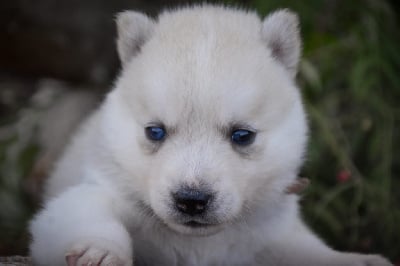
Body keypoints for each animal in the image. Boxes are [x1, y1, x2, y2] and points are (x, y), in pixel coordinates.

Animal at [29, 4, 392, 266]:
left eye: (242, 135)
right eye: (155, 132)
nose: (191, 200)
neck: (199, 245)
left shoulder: (273, 234)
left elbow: (308, 250)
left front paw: (356, 260)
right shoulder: (95, 191)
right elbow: (91, 212)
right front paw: (99, 251)